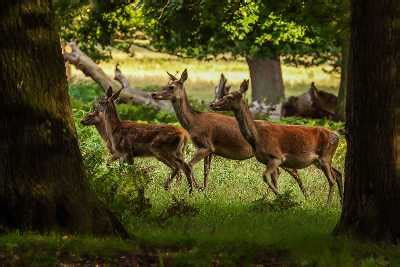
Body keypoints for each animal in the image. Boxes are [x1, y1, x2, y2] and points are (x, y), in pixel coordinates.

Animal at [152, 70, 304, 196]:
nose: (154, 94)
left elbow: (188, 165)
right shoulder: (209, 149)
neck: (194, 122)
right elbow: (206, 170)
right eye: (166, 83)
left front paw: (195, 188)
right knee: (281, 171)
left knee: (292, 171)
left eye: (171, 87)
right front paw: (203, 189)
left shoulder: (207, 145)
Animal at [209, 79, 344, 205]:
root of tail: (337, 137)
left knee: (331, 179)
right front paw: (277, 199)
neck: (256, 136)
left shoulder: (276, 157)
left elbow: (265, 177)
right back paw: (340, 201)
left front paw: (282, 198)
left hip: (325, 156)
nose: (212, 104)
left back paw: (327, 205)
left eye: (229, 97)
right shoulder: (268, 160)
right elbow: (273, 180)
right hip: (320, 160)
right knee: (338, 173)